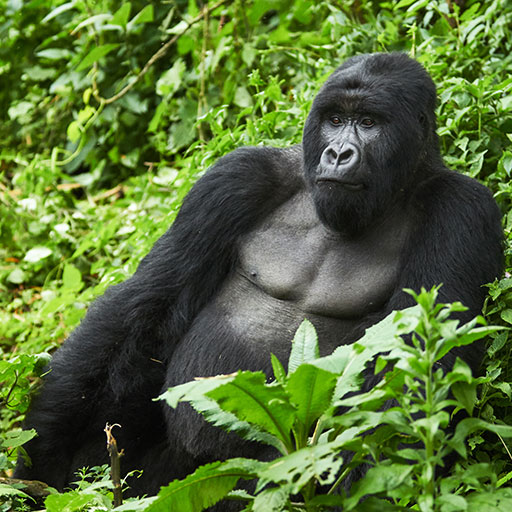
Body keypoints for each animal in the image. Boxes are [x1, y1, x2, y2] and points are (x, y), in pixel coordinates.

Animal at [16, 54, 504, 498]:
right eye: (335, 119)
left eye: (368, 122)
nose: (338, 153)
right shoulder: (238, 176)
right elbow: (148, 304)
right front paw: (46, 453)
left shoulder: (462, 210)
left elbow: (411, 364)